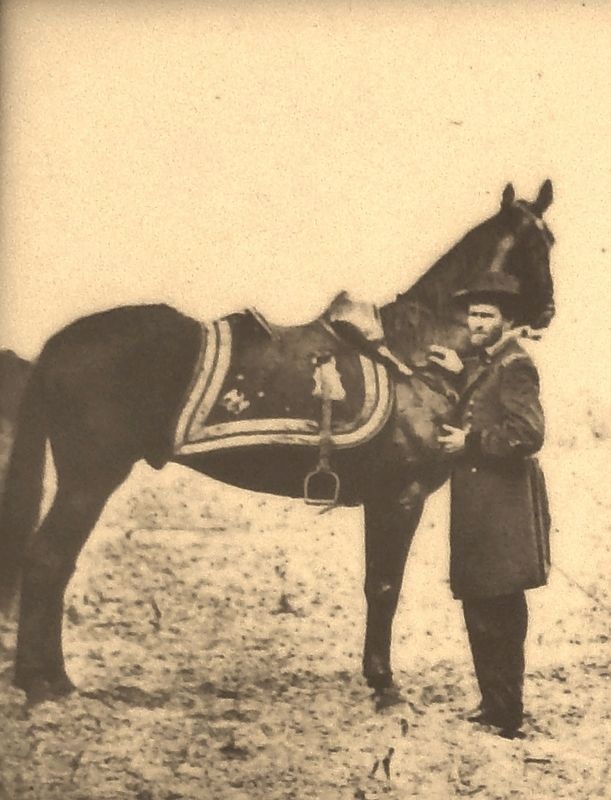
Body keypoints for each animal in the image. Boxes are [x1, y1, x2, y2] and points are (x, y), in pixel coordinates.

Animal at [0, 180, 555, 705]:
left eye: (549, 240)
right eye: (535, 244)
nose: (549, 311)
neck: (411, 354)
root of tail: (58, 345)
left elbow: (376, 586)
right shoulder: (400, 497)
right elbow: (384, 587)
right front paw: (383, 684)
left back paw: (48, 678)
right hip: (89, 480)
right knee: (48, 560)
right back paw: (43, 682)